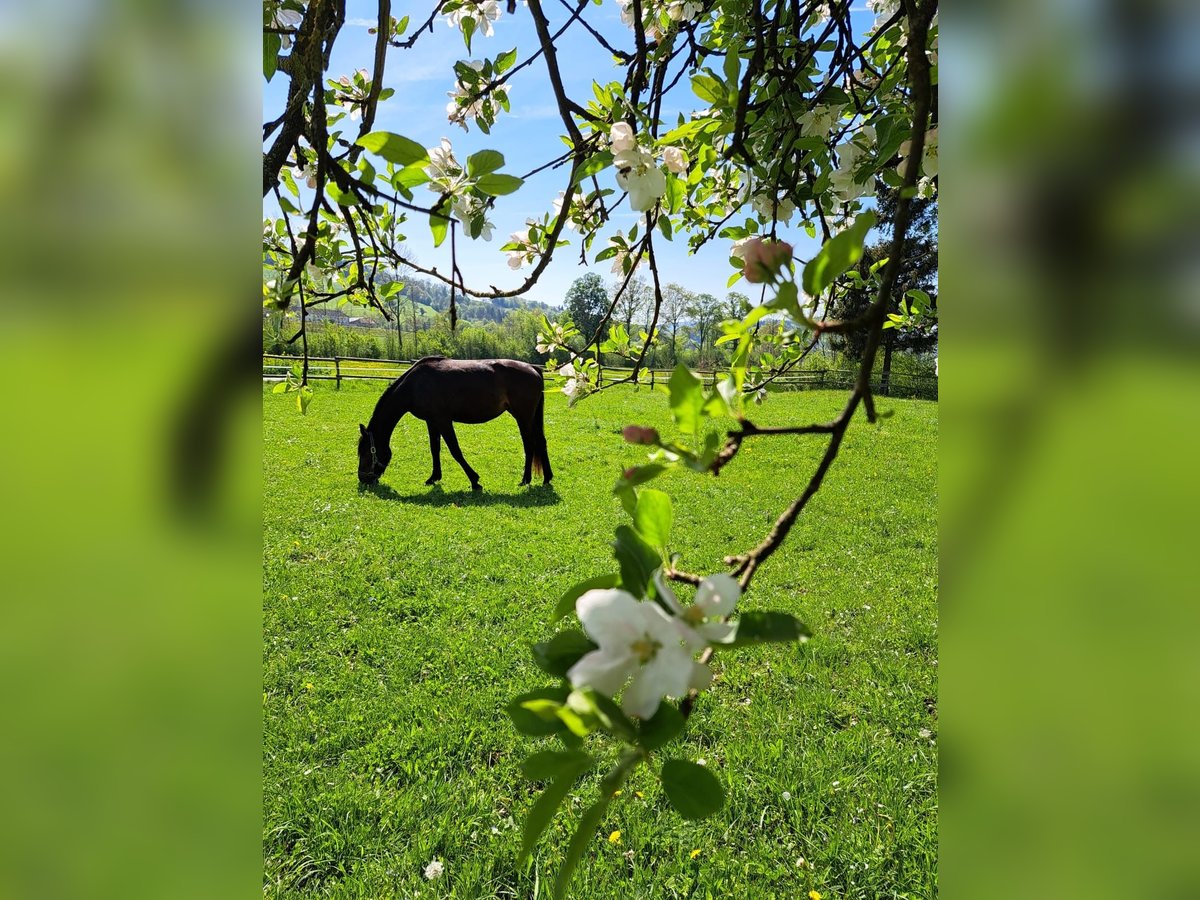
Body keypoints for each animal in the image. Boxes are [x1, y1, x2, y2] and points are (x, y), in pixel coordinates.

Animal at [355, 355, 552, 489]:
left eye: (366, 452)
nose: (363, 479)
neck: (415, 385)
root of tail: (533, 368)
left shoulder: (443, 421)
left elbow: (455, 450)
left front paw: (474, 480)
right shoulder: (432, 421)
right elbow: (435, 449)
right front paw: (433, 477)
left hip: (523, 417)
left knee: (529, 445)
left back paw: (525, 479)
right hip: (531, 418)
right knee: (540, 442)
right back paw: (547, 477)